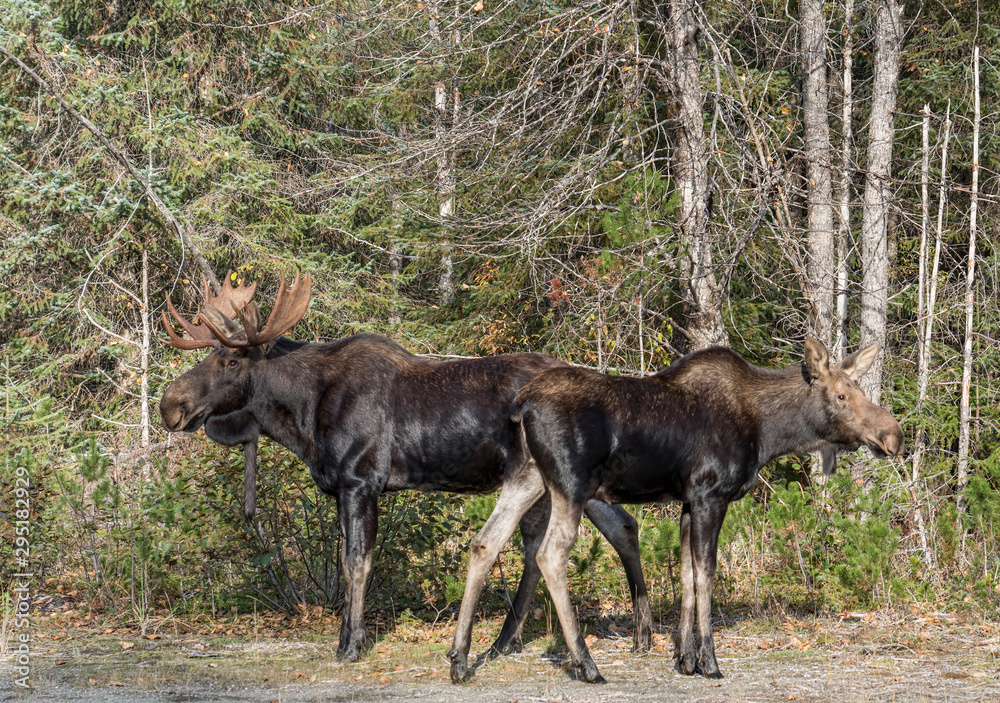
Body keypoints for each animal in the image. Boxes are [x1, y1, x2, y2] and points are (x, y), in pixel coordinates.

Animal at [158, 271, 654, 663]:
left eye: (229, 359)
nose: (170, 405)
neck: (302, 416)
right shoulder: (344, 488)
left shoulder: (360, 482)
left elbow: (355, 563)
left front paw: (350, 644)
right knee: (615, 527)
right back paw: (629, 637)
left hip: (556, 474)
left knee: (560, 543)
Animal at [449, 339, 905, 684]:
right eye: (842, 396)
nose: (893, 435)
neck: (769, 432)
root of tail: (521, 406)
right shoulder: (710, 494)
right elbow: (706, 574)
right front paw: (710, 662)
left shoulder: (688, 499)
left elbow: (686, 572)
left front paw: (685, 659)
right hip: (570, 484)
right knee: (549, 554)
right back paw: (586, 664)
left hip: (526, 476)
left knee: (484, 543)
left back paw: (459, 660)